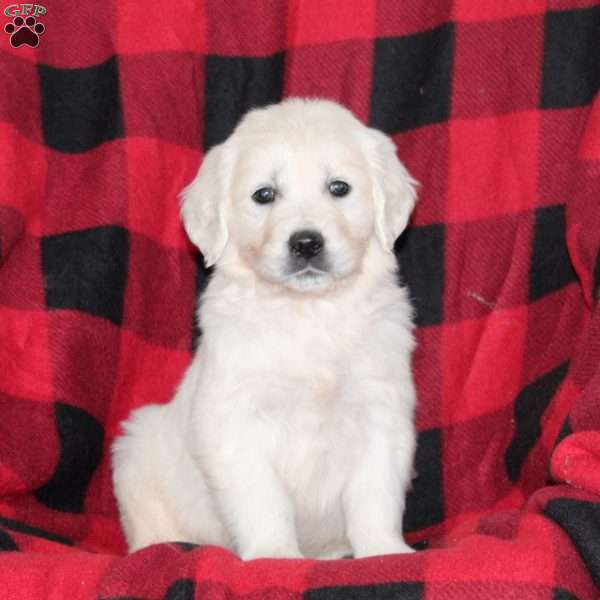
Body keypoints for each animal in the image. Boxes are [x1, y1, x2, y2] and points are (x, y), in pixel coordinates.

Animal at [111, 96, 418, 560]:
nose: (306, 243)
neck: (308, 311)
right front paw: (274, 555)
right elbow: (264, 500)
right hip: (135, 454)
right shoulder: (235, 420)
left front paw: (384, 552)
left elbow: (375, 496)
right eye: (264, 195)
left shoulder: (381, 413)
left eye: (339, 188)